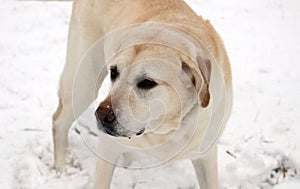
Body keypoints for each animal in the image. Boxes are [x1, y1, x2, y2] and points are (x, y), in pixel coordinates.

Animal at [52, 0, 232, 188]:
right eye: (114, 72)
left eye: (147, 82)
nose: (101, 115)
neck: (169, 127)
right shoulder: (108, 146)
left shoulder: (206, 155)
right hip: (82, 83)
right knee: (58, 121)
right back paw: (62, 167)